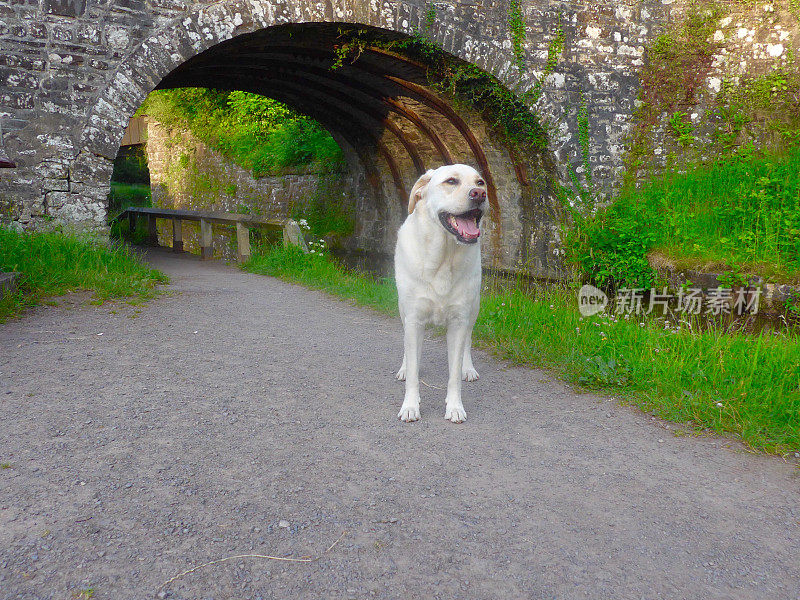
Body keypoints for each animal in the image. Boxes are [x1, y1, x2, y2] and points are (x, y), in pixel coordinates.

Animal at [396, 164, 488, 422]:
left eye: (480, 182)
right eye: (451, 181)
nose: (479, 194)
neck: (443, 258)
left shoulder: (458, 320)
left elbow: (454, 374)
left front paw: (455, 407)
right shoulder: (414, 318)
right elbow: (414, 370)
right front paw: (410, 406)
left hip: (474, 308)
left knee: (468, 340)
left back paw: (468, 368)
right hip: (403, 310)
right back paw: (405, 366)